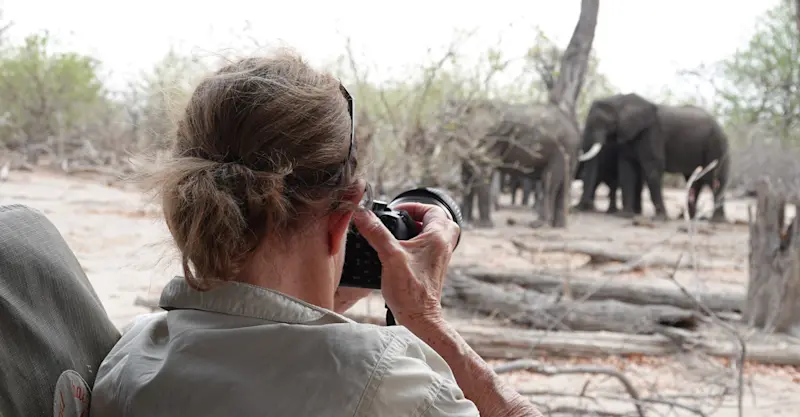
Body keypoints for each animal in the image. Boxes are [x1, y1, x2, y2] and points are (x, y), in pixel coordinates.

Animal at [458, 101, 597, 228]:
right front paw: (467, 222)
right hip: (569, 151)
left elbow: (483, 170)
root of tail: (574, 126)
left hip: (561, 150)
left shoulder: (494, 138)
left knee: (549, 181)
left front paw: (483, 226)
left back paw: (538, 225)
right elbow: (466, 174)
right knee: (564, 184)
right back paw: (558, 226)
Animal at [579, 93, 730, 222]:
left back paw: (716, 221)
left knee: (714, 179)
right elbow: (627, 169)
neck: (620, 101)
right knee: (694, 180)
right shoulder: (628, 136)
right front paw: (624, 215)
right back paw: (685, 218)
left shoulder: (652, 132)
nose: (584, 207)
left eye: (603, 123)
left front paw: (660, 218)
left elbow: (653, 168)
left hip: (716, 146)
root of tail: (721, 127)